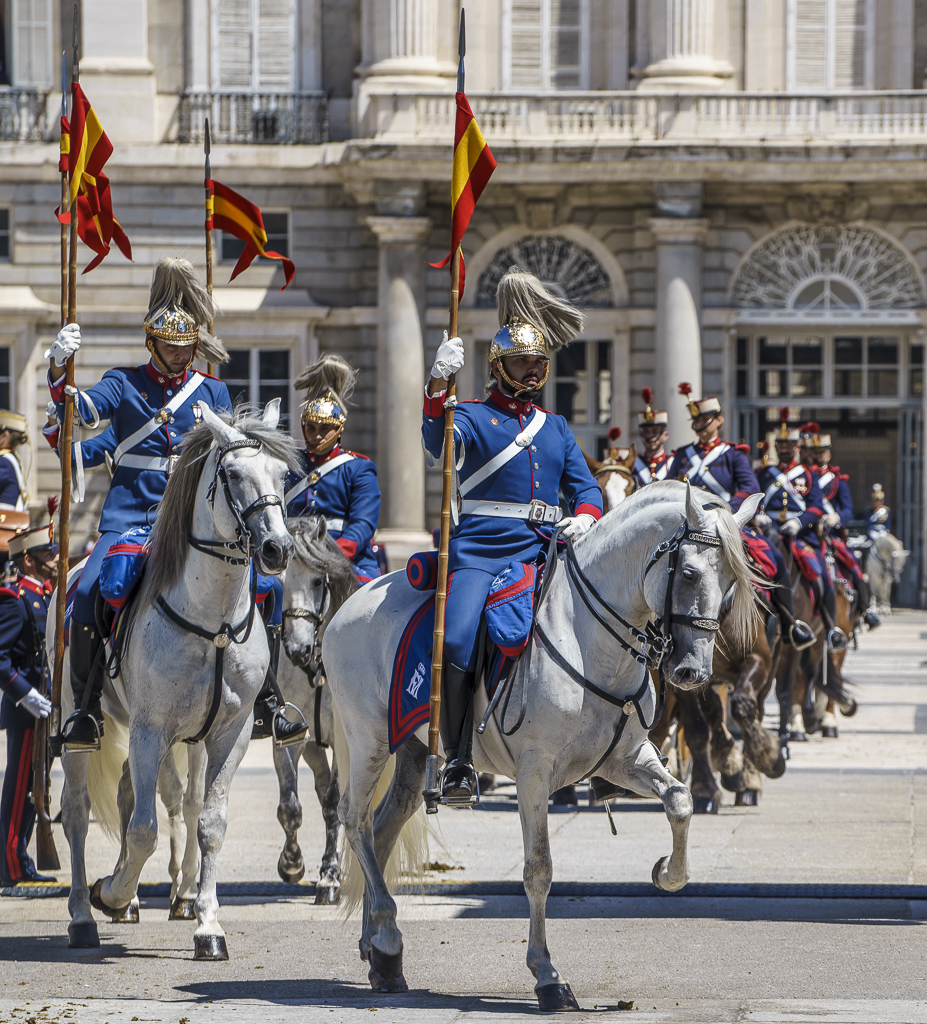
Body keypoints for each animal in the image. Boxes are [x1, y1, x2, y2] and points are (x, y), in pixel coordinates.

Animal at [53, 403, 297, 954]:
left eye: (282, 475)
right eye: (233, 475)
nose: (277, 549)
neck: (214, 622)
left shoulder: (229, 733)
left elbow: (209, 821)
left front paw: (208, 925)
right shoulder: (150, 729)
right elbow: (143, 829)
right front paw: (111, 892)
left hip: (183, 738)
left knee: (157, 798)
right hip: (83, 724)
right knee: (78, 810)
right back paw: (83, 913)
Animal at [325, 479, 757, 1007]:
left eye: (730, 583)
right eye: (691, 573)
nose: (693, 671)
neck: (590, 640)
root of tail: (353, 602)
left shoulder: (625, 758)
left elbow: (679, 800)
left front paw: (667, 873)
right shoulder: (534, 772)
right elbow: (539, 870)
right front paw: (547, 975)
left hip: (411, 754)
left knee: (382, 831)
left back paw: (380, 950)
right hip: (367, 741)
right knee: (355, 820)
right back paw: (385, 936)